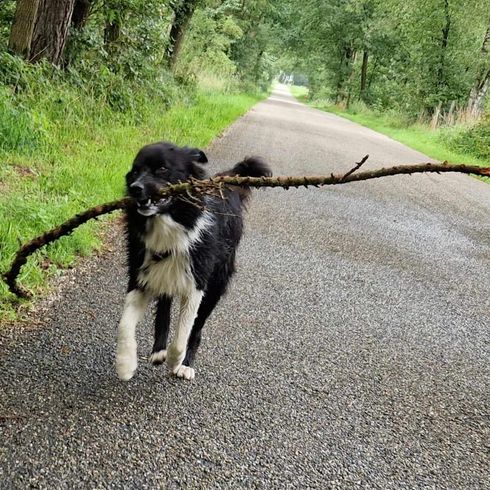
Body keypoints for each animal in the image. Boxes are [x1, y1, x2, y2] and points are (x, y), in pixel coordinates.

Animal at [115, 140, 272, 380]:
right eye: (134, 171)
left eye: (162, 169)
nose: (135, 188)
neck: (172, 221)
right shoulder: (141, 274)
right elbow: (124, 325)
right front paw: (125, 364)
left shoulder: (196, 283)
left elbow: (184, 332)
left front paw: (175, 360)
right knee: (164, 307)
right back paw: (158, 351)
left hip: (216, 284)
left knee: (197, 328)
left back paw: (185, 363)